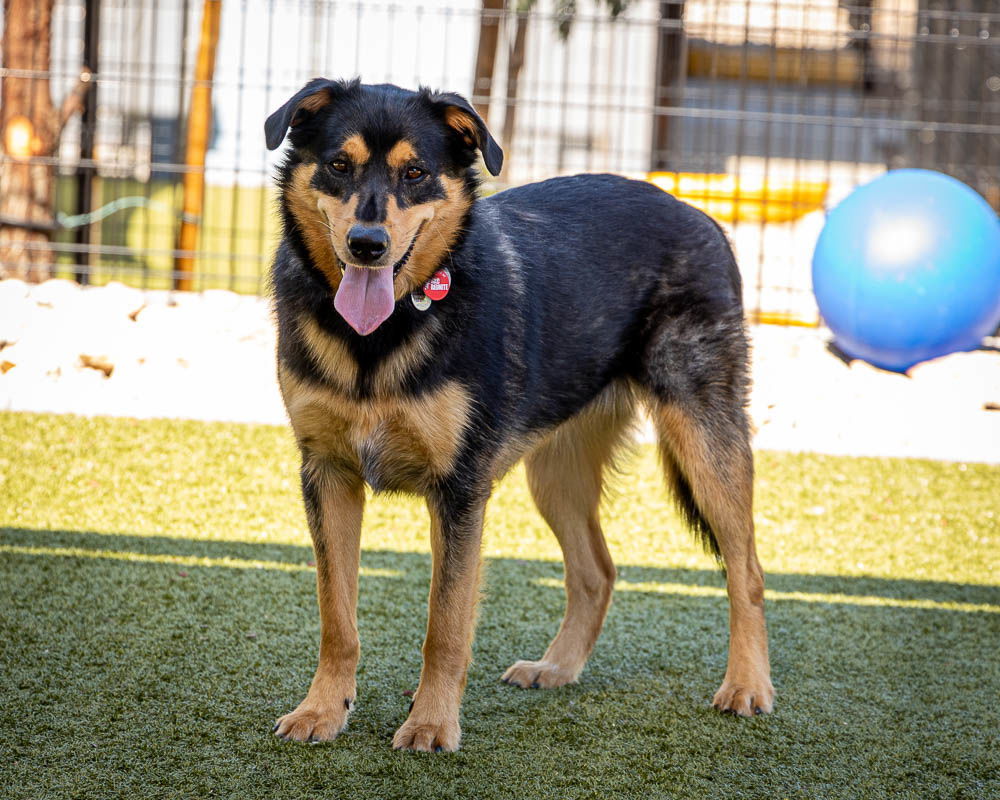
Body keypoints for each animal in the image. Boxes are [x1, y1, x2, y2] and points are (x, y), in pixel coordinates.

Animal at [264, 78, 772, 752]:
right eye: (339, 166)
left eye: (416, 172)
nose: (367, 246)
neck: (379, 338)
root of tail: (702, 214)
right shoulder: (328, 475)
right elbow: (336, 617)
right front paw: (324, 709)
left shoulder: (459, 491)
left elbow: (446, 624)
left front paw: (431, 723)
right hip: (555, 473)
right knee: (597, 571)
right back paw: (557, 667)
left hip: (705, 442)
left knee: (748, 571)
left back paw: (747, 685)